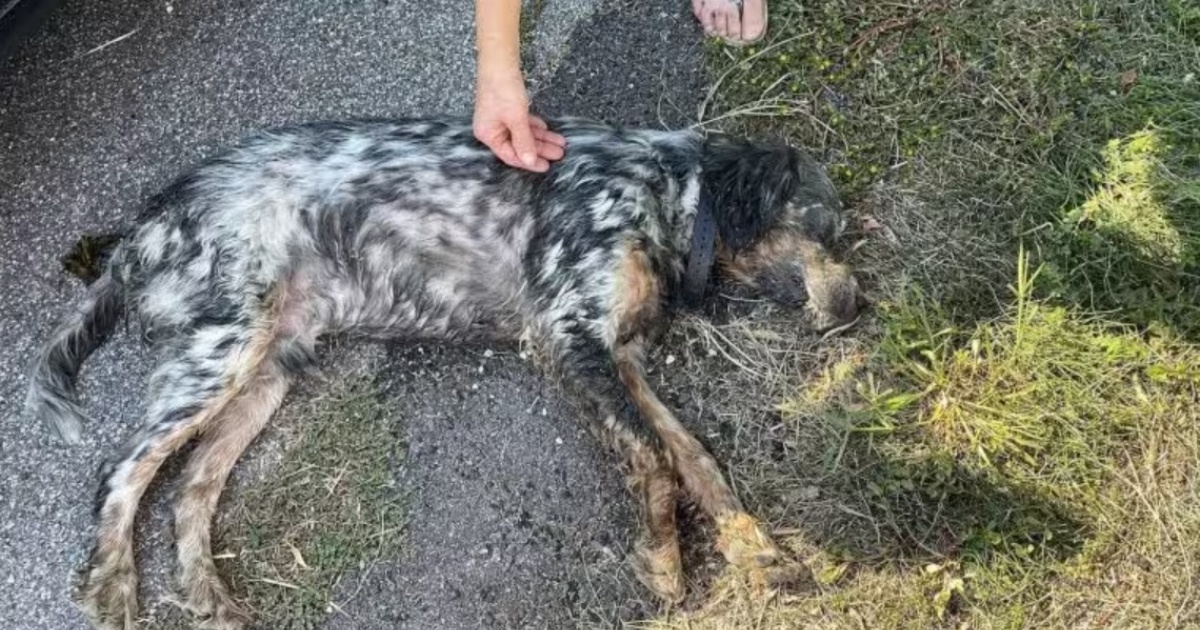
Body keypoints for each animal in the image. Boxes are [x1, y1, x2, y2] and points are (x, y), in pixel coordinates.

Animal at [28, 115, 864, 624]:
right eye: (825, 228)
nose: (857, 304)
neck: (661, 192)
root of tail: (136, 236)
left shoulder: (620, 362)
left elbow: (694, 457)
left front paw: (756, 551)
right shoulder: (569, 335)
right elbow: (655, 458)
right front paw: (664, 564)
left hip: (265, 371)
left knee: (192, 489)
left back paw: (209, 595)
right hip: (224, 348)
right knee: (123, 470)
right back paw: (112, 587)